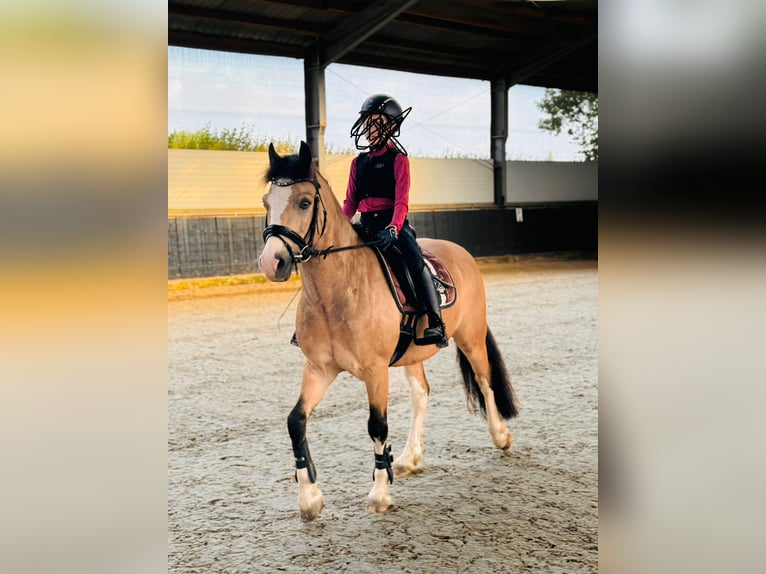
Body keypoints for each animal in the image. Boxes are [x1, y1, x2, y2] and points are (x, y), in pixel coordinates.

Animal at [260, 143, 520, 520]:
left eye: (305, 202)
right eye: (267, 201)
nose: (272, 262)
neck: (338, 290)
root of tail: (460, 252)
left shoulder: (375, 370)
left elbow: (377, 426)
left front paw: (379, 494)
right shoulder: (319, 369)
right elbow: (296, 421)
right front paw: (310, 498)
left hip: (470, 337)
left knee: (484, 381)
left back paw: (501, 436)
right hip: (413, 354)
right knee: (422, 393)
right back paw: (411, 458)